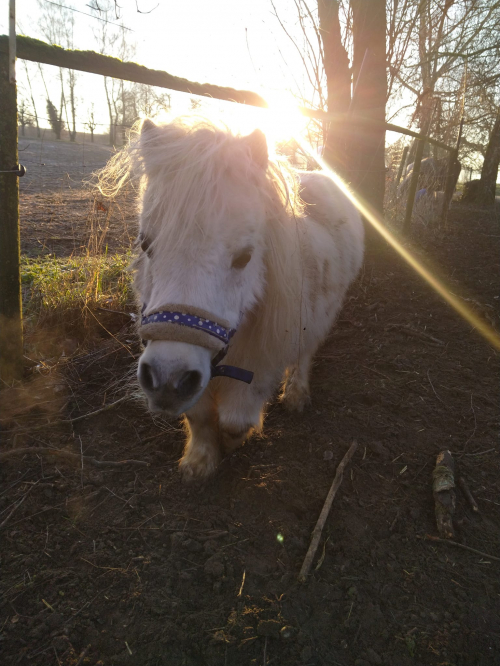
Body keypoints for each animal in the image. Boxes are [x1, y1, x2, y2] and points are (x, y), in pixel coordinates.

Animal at [98, 119, 364, 478]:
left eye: (244, 257)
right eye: (146, 245)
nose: (167, 378)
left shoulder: (263, 358)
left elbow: (236, 419)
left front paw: (233, 442)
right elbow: (198, 416)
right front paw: (200, 460)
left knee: (305, 352)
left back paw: (296, 394)